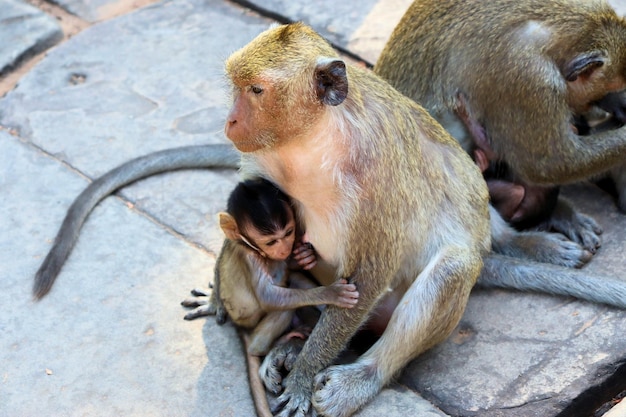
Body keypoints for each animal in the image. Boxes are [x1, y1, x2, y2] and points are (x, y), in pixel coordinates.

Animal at [179, 177, 356, 356]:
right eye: (271, 242)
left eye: (289, 232)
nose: (285, 249)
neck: (254, 250)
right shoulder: (249, 259)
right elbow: (267, 296)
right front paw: (331, 293)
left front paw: (304, 256)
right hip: (248, 322)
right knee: (284, 307)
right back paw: (265, 345)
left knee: (295, 279)